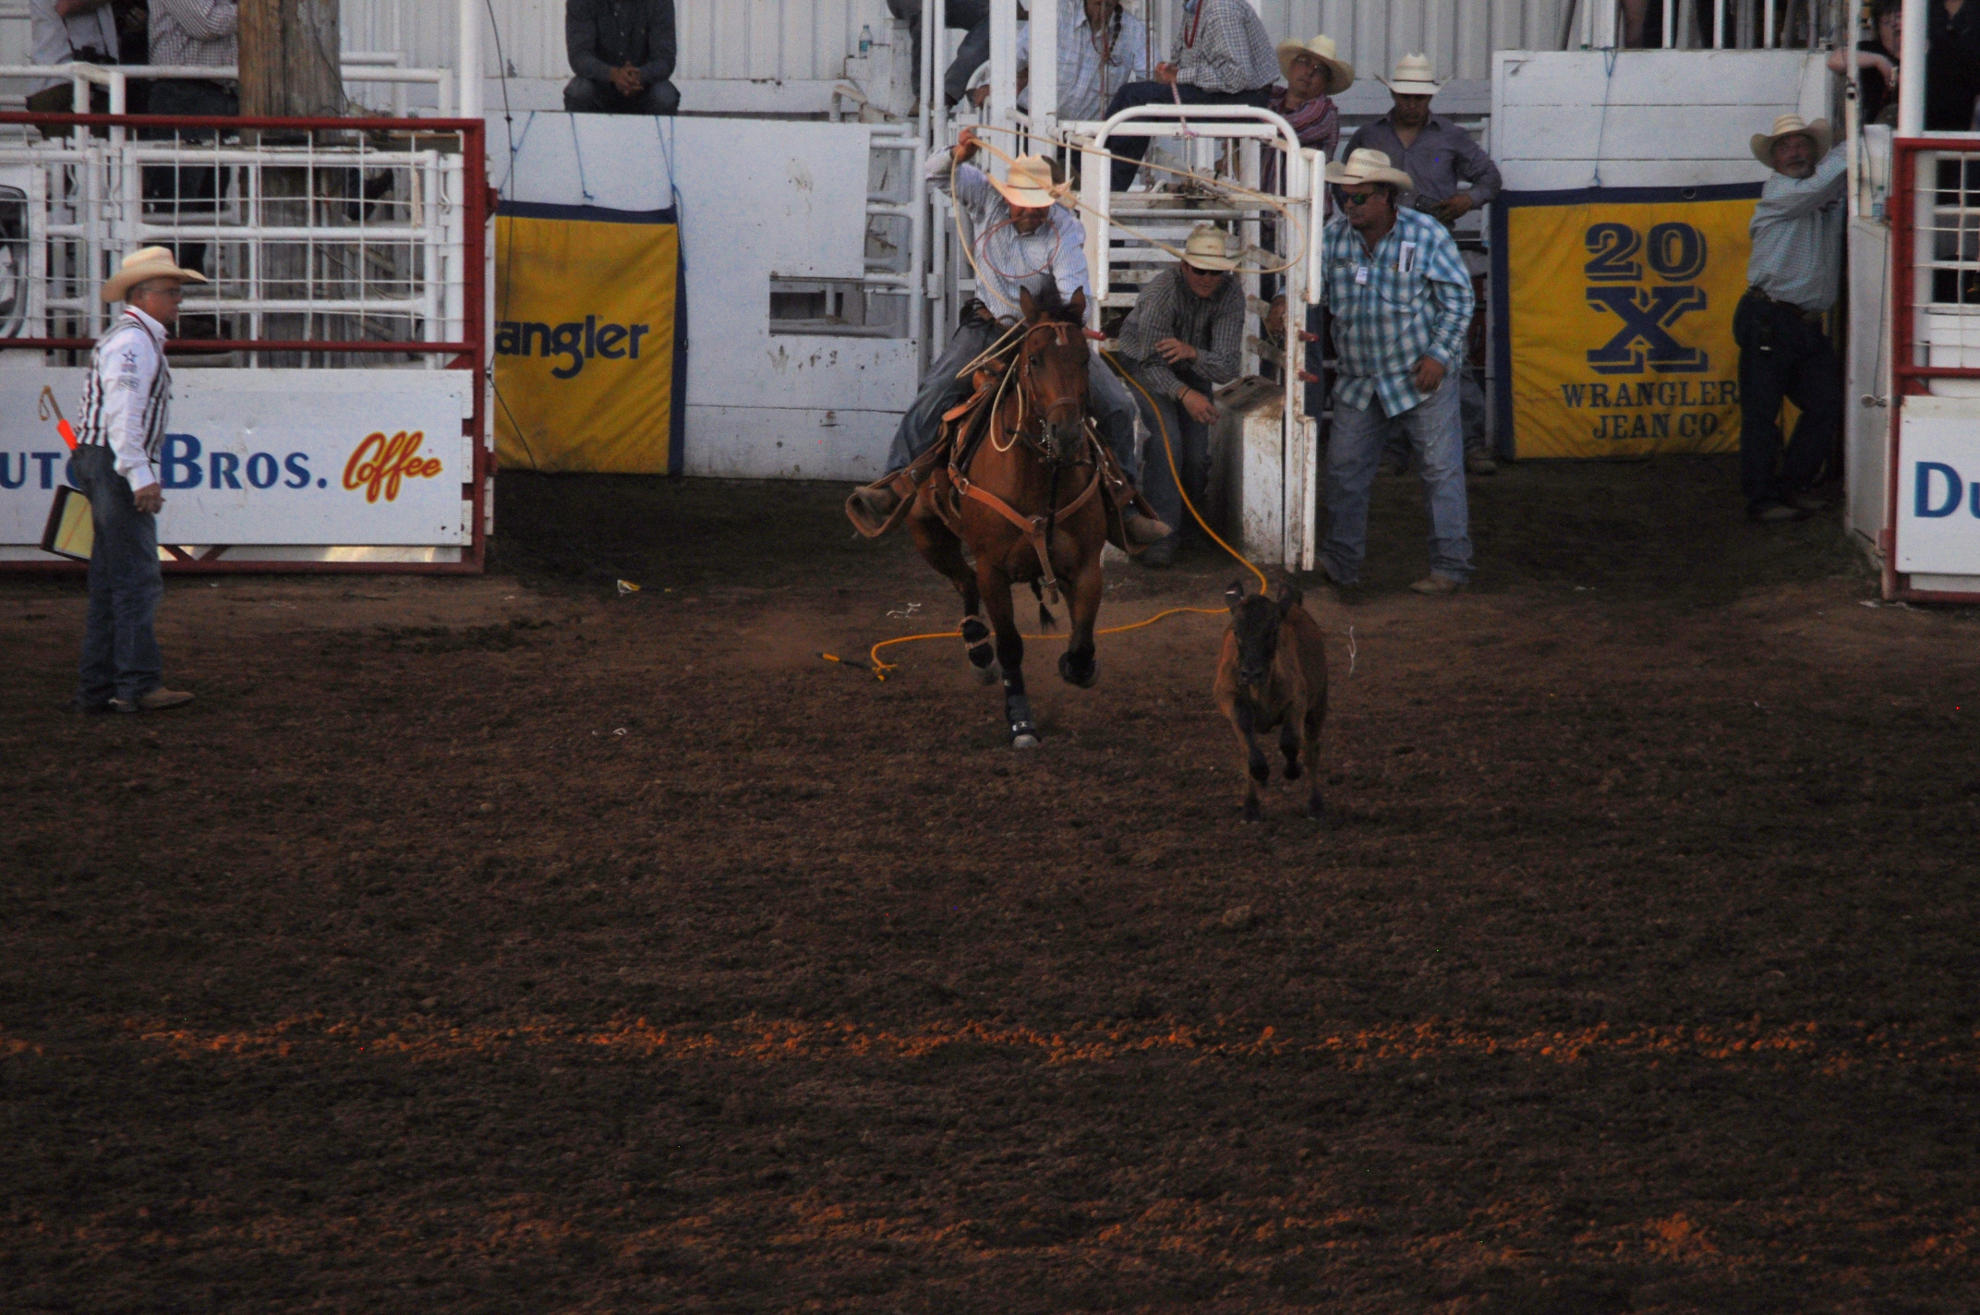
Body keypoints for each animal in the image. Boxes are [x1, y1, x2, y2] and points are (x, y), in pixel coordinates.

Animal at [906, 283, 1116, 744]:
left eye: (1083, 359)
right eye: (1034, 359)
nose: (1066, 433)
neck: (1039, 480)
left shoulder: (1086, 565)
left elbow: (1082, 639)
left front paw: (1077, 667)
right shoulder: (993, 570)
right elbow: (1010, 645)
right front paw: (1021, 719)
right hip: (926, 532)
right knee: (963, 581)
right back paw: (978, 648)